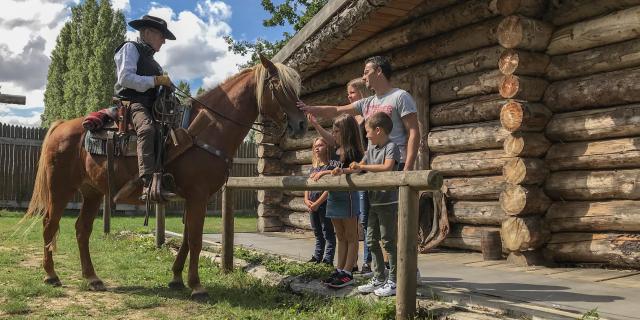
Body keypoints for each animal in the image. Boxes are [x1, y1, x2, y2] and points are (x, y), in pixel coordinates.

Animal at [23, 54, 306, 298]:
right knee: (49, 225)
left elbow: (188, 239)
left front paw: (177, 278)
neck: (206, 130)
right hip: (60, 190)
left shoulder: (195, 198)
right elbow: (195, 240)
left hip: (91, 193)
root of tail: (61, 126)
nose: (301, 124)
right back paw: (51, 276)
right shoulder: (198, 195)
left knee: (82, 230)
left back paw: (92, 278)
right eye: (278, 86)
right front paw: (197, 286)